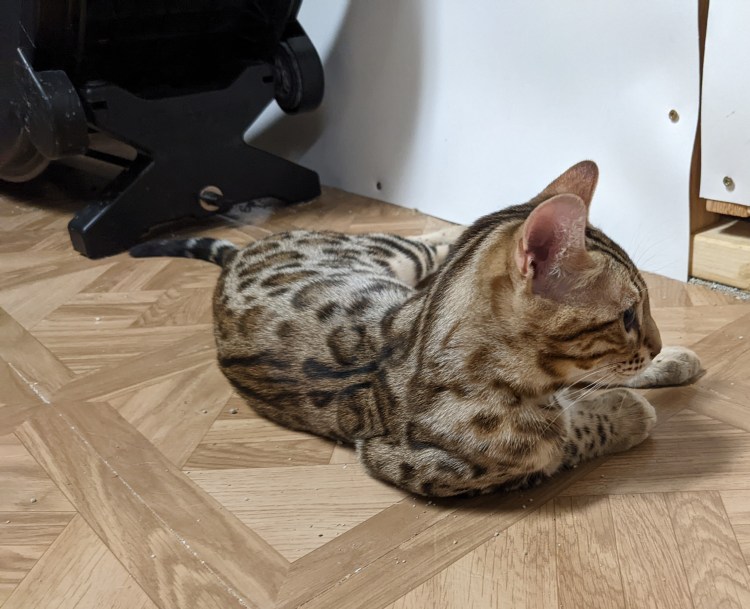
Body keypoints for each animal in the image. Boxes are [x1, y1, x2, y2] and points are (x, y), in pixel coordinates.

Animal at [130, 161, 702, 497]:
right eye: (628, 316)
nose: (655, 342)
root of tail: (237, 256)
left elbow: (593, 385)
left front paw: (669, 360)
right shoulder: (419, 466)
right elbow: (566, 436)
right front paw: (626, 411)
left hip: (399, 261)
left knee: (443, 239)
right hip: (390, 254)